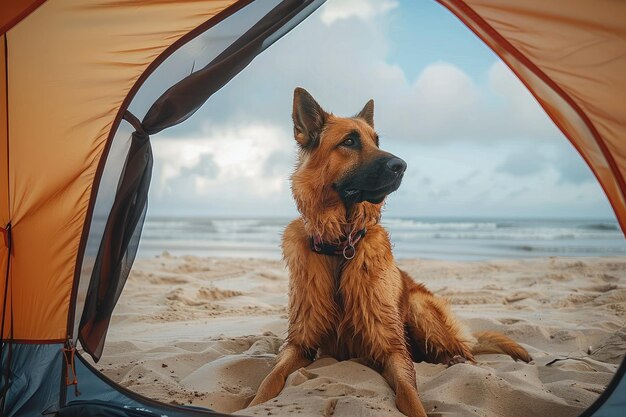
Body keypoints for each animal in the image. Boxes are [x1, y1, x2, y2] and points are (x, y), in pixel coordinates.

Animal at [246, 88, 528, 416]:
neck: (341, 247)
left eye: (376, 141)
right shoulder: (299, 343)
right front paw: (255, 402)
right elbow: (270, 379)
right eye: (350, 141)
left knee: (465, 355)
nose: (402, 166)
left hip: (419, 306)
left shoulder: (392, 348)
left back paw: (456, 358)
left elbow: (409, 394)